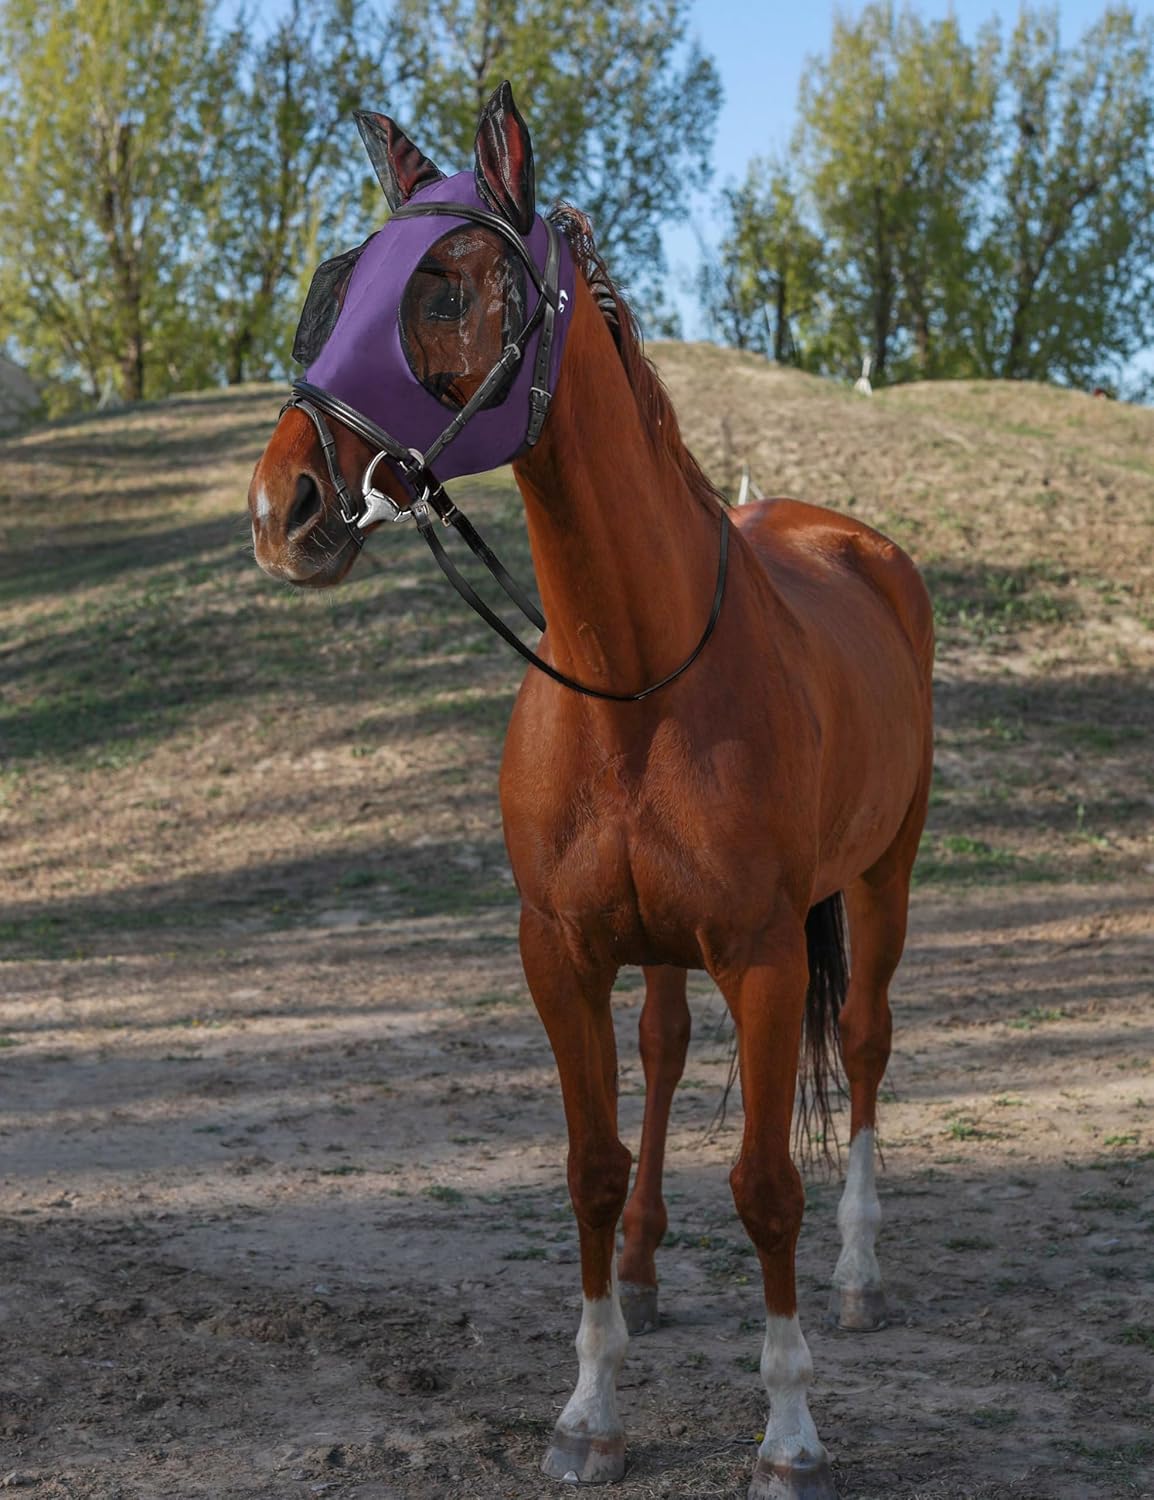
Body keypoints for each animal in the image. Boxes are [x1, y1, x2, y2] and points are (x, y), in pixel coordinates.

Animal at [248, 82, 934, 1500]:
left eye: (446, 285)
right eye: (339, 286)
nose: (284, 504)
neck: (636, 674)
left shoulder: (764, 954)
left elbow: (766, 1185)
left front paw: (789, 1432)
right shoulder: (559, 952)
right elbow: (587, 1168)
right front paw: (588, 1408)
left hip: (881, 878)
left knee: (863, 1045)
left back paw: (854, 1275)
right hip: (663, 945)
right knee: (665, 1052)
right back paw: (648, 1269)